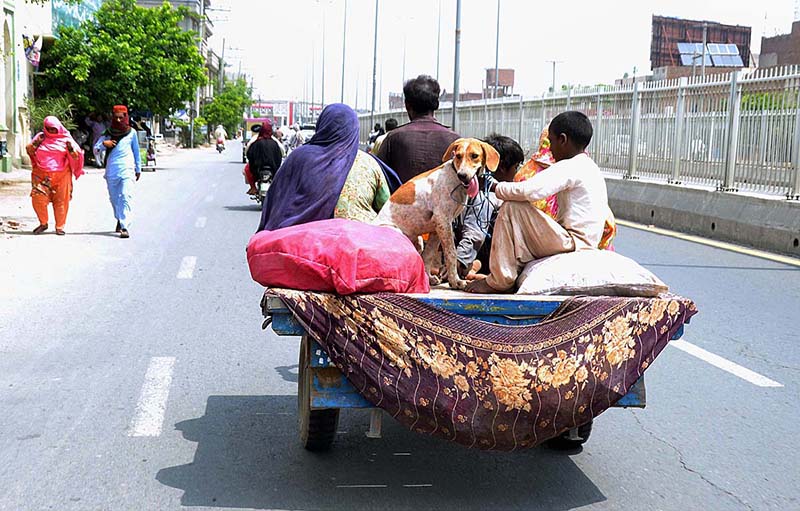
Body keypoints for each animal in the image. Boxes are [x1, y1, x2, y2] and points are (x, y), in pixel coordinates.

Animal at [376, 138, 500, 290]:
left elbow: (428, 256)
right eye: (458, 156)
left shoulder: (437, 228)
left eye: (474, 156)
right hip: (398, 234)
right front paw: (455, 281)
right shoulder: (443, 221)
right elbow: (451, 253)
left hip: (419, 241)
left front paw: (428, 278)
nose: (462, 175)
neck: (455, 178)